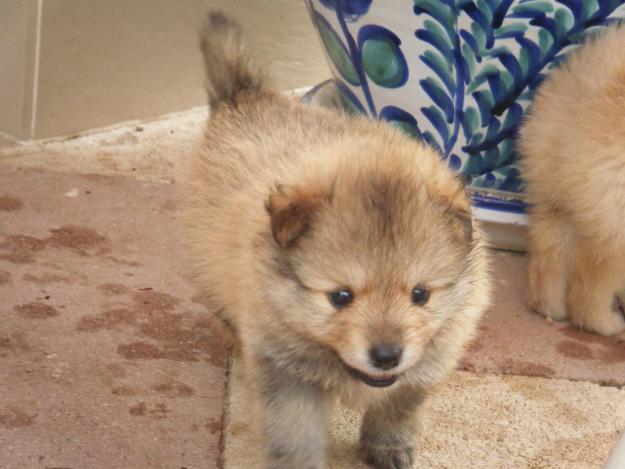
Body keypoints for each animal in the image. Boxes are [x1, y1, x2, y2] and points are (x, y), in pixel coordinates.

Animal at [180, 11, 492, 468]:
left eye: (420, 295)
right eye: (340, 297)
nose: (386, 355)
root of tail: (245, 97)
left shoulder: (424, 369)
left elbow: (396, 409)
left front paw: (388, 448)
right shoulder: (287, 378)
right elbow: (294, 436)